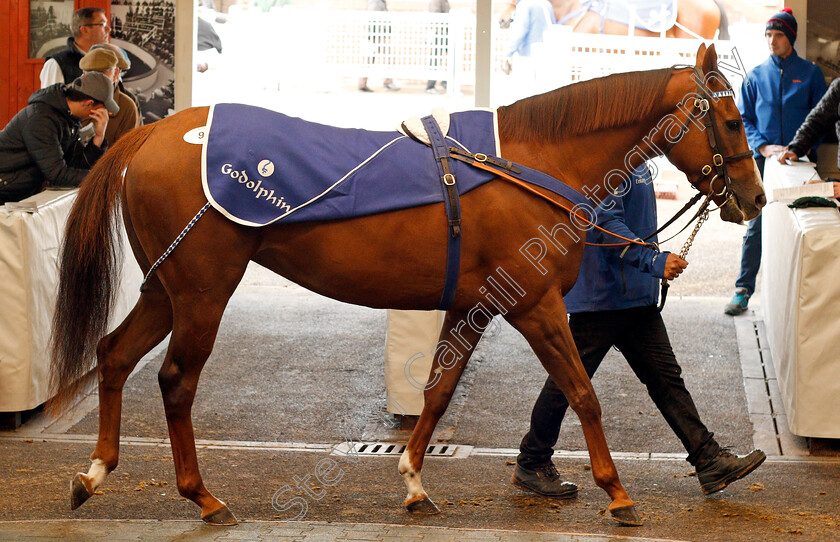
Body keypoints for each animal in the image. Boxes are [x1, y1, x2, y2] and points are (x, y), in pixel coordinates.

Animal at [50, 44, 760, 528]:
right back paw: (202, 495)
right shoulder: (535, 306)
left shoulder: (475, 306)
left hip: (163, 290)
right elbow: (583, 393)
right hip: (201, 292)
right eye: (729, 119)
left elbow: (439, 392)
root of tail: (153, 132)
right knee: (176, 381)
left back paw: (93, 474)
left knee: (114, 355)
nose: (753, 198)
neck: (528, 162)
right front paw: (616, 492)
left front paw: (415, 482)